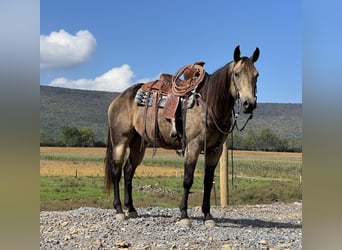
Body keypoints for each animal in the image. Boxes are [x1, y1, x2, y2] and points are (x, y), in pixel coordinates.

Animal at [104, 45, 260, 227]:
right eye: (237, 74)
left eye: (256, 75)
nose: (249, 104)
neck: (209, 103)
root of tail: (118, 99)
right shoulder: (193, 146)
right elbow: (188, 180)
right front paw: (184, 215)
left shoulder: (215, 150)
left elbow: (208, 181)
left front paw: (208, 216)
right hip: (120, 141)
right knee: (116, 172)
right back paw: (119, 210)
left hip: (138, 145)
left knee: (128, 172)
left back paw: (131, 209)